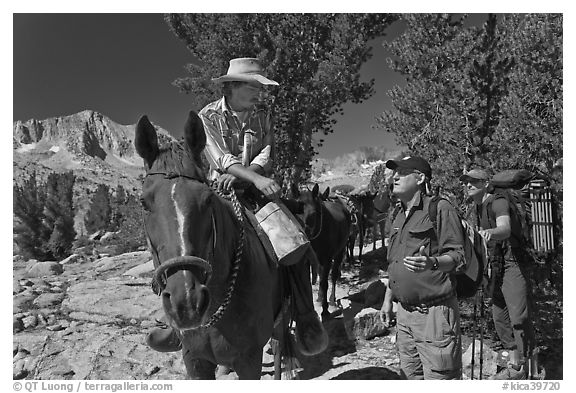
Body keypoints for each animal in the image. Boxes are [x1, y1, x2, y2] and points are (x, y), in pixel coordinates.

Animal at [136, 111, 292, 380]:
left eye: (208, 199)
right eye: (144, 203)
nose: (186, 303)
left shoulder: (249, 360)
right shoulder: (194, 360)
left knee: (279, 345)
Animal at [292, 182, 352, 316]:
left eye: (313, 214)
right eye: (294, 213)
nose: (303, 236)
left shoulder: (327, 259)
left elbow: (325, 282)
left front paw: (325, 310)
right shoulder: (310, 260)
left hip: (339, 252)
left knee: (333, 276)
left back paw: (332, 301)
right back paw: (320, 298)